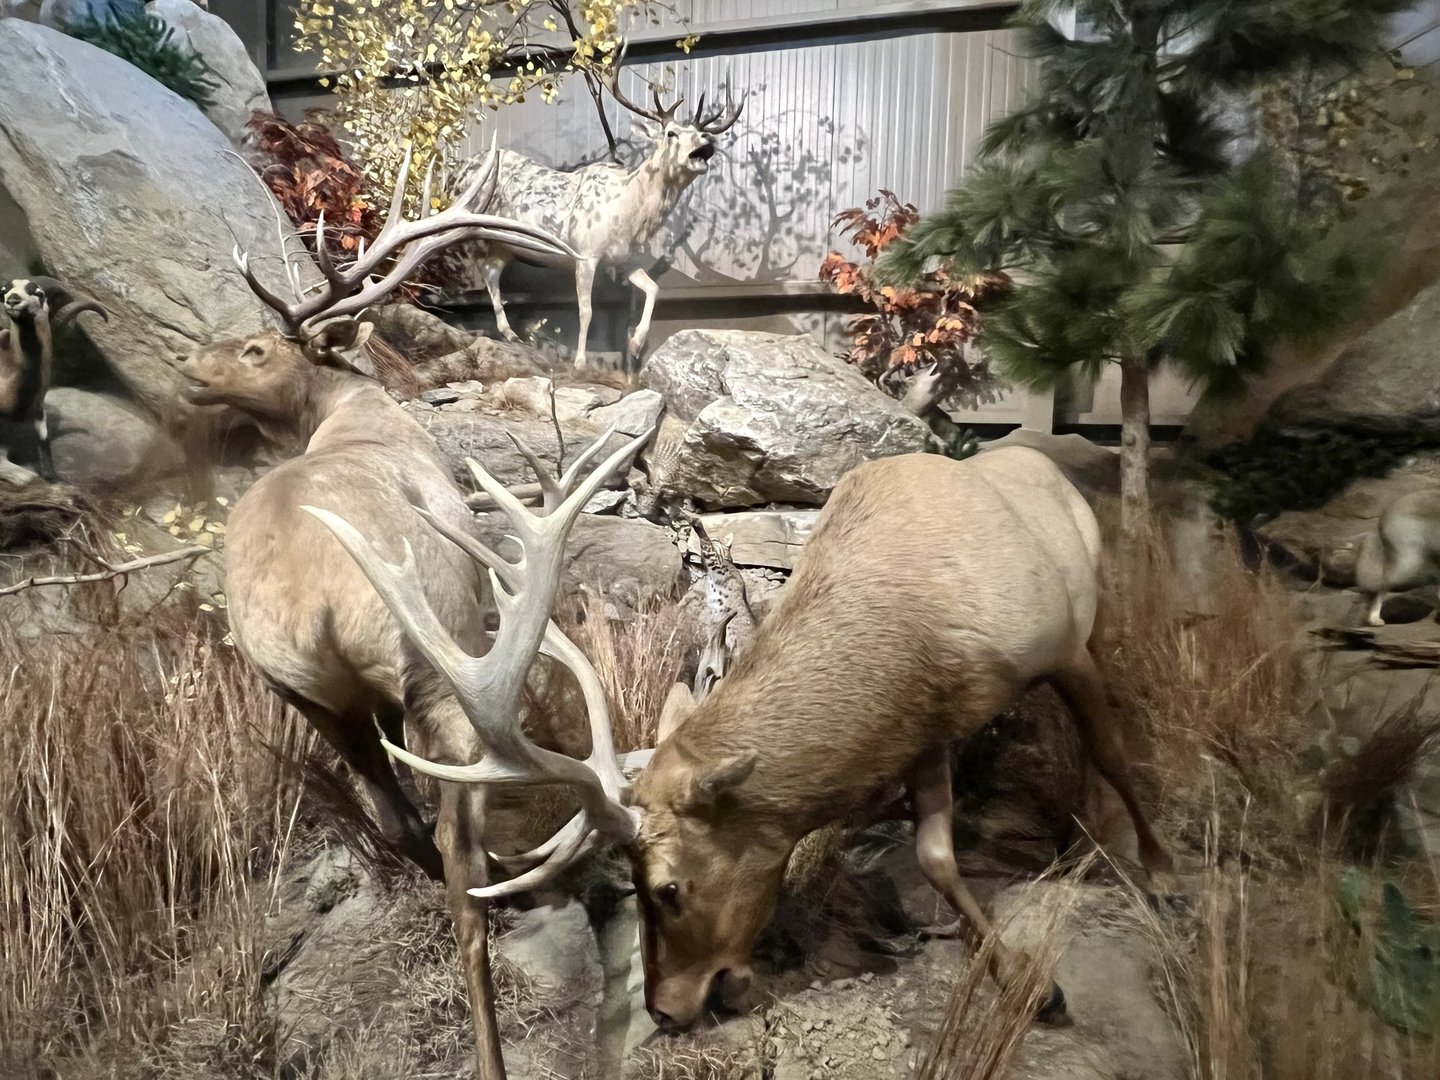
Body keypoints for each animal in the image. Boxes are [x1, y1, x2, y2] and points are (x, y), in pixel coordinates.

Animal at [2, 276, 108, 482]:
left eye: (39, 293)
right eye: (4, 290)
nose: (12, 300)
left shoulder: (39, 410)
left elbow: (44, 440)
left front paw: (50, 474)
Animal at [173, 143, 615, 1078]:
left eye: (254, 346)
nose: (190, 366)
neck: (354, 411)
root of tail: (313, 612)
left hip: (300, 690)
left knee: (395, 815)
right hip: (438, 667)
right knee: (453, 840)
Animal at [315, 443, 1178, 1046]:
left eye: (666, 887)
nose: (665, 1010)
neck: (915, 635)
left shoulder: (1059, 645)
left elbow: (1112, 750)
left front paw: (1155, 874)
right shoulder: (924, 727)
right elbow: (936, 854)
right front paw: (1032, 984)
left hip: (1094, 608)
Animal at [447, 60, 742, 370]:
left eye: (700, 133)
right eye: (671, 133)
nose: (707, 138)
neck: (628, 214)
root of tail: (454, 172)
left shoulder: (625, 258)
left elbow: (652, 288)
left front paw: (636, 344)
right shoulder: (585, 253)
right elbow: (586, 311)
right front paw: (580, 362)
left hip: (504, 244)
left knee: (490, 272)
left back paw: (510, 333)